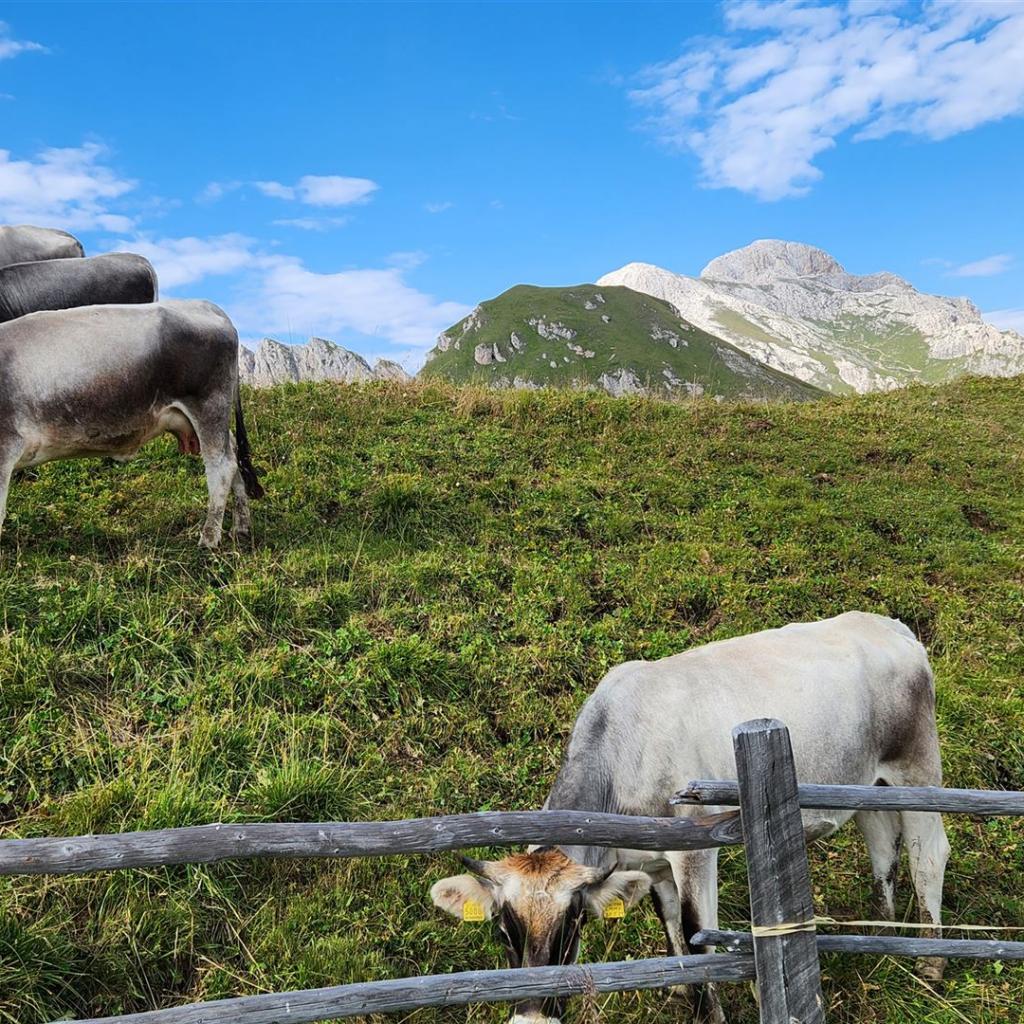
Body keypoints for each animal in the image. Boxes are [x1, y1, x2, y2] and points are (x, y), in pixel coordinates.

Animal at [0, 300, 263, 548]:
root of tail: (205, 305)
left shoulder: (6, 445)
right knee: (233, 457)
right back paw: (241, 528)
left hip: (208, 405)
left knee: (221, 467)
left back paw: (209, 539)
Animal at [430, 612, 949, 1024]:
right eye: (503, 929)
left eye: (572, 923)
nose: (532, 1018)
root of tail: (889, 625)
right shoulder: (654, 864)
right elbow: (670, 923)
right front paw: (679, 986)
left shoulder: (694, 851)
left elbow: (698, 933)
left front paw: (709, 1010)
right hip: (866, 785)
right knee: (882, 844)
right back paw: (882, 930)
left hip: (917, 770)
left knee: (928, 854)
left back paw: (930, 964)